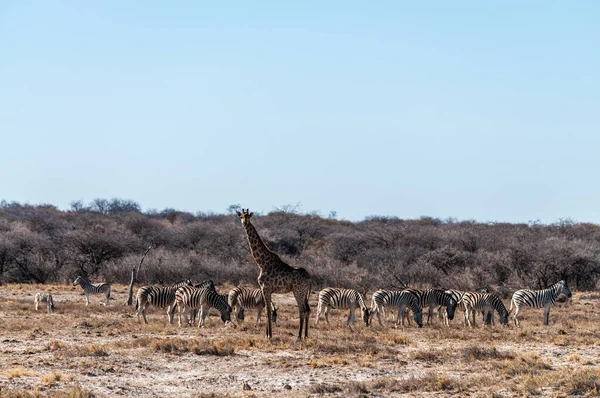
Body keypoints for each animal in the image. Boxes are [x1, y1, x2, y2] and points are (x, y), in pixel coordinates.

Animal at [237, 208, 312, 338]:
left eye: (248, 216)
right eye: (241, 216)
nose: (244, 223)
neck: (261, 263)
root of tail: (310, 279)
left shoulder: (265, 288)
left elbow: (267, 311)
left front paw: (269, 335)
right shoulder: (266, 289)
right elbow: (267, 310)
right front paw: (267, 334)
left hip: (298, 291)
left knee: (302, 310)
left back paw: (298, 337)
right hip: (304, 293)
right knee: (307, 310)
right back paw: (306, 336)